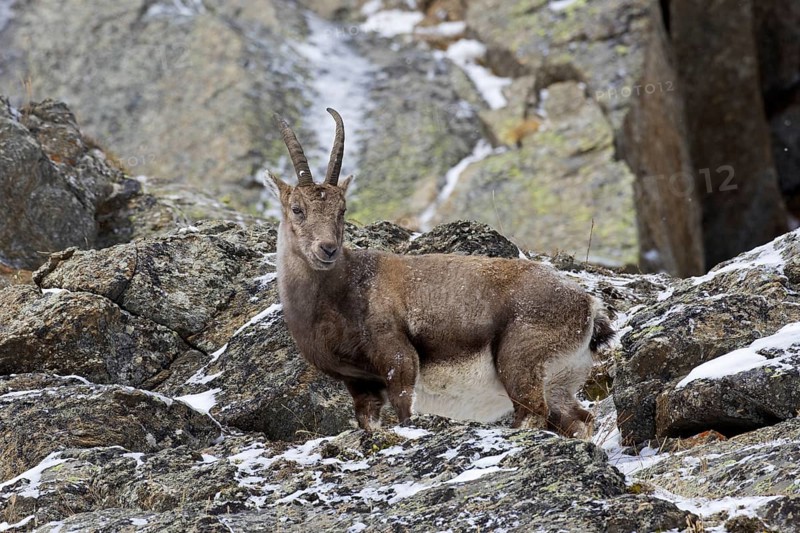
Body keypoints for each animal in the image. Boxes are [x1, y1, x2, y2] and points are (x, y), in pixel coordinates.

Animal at [266, 108, 614, 438]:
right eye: (297, 209)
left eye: (342, 210)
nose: (327, 249)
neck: (343, 290)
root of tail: (588, 306)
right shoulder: (360, 383)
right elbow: (368, 420)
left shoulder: (399, 359)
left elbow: (405, 410)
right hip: (560, 382)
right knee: (579, 419)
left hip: (520, 362)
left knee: (532, 413)